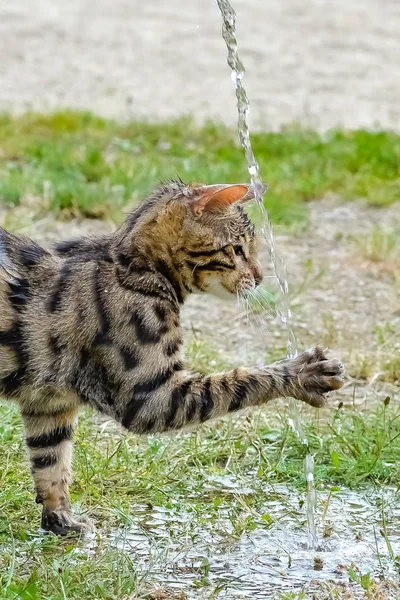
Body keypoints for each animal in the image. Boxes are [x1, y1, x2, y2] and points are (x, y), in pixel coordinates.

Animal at [0, 179, 344, 536]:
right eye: (237, 249)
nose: (261, 276)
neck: (135, 269)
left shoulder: (50, 401)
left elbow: (51, 463)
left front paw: (61, 521)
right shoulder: (150, 396)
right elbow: (239, 381)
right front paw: (301, 373)